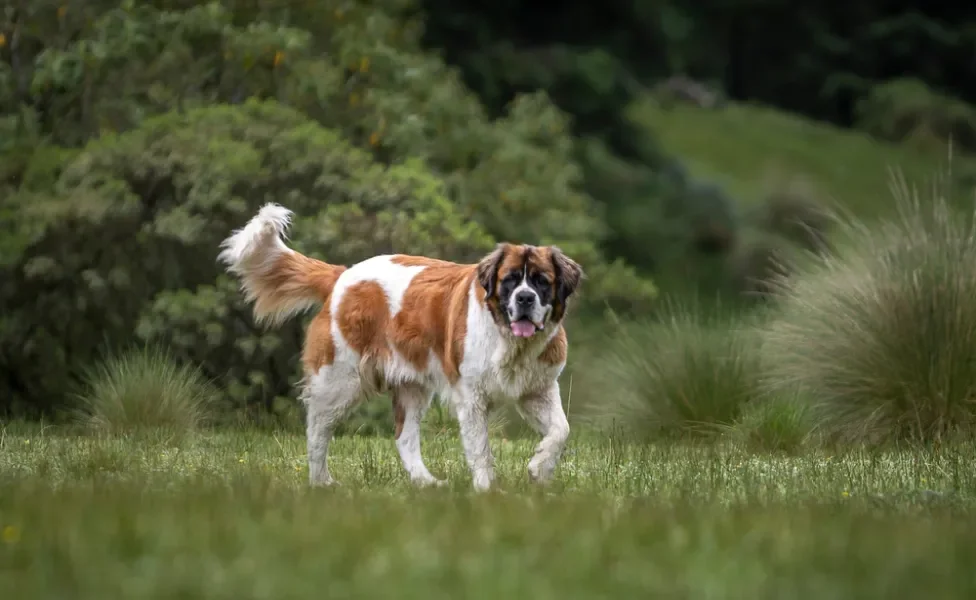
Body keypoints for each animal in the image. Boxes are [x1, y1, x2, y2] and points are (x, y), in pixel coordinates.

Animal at [218, 204, 584, 490]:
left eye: (541, 281)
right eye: (509, 280)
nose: (525, 298)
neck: (510, 342)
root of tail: (342, 276)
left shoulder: (538, 389)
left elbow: (561, 430)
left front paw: (539, 469)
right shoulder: (472, 398)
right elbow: (481, 448)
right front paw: (488, 490)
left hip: (412, 386)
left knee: (404, 437)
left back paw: (426, 483)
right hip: (339, 380)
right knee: (317, 429)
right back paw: (321, 481)